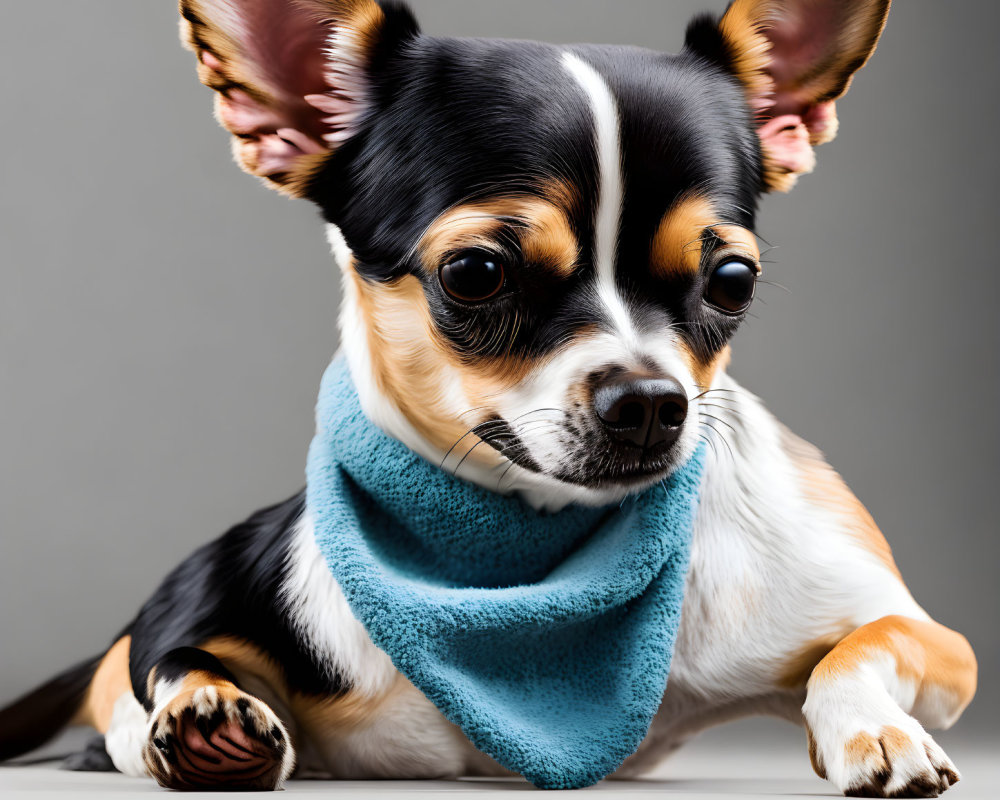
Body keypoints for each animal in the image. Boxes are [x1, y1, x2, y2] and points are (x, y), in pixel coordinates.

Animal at [0, 0, 976, 796]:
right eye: (476, 274)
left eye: (733, 281)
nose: (652, 401)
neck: (530, 552)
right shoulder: (211, 599)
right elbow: (174, 659)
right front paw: (202, 714)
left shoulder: (928, 636)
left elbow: (857, 647)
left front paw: (876, 732)